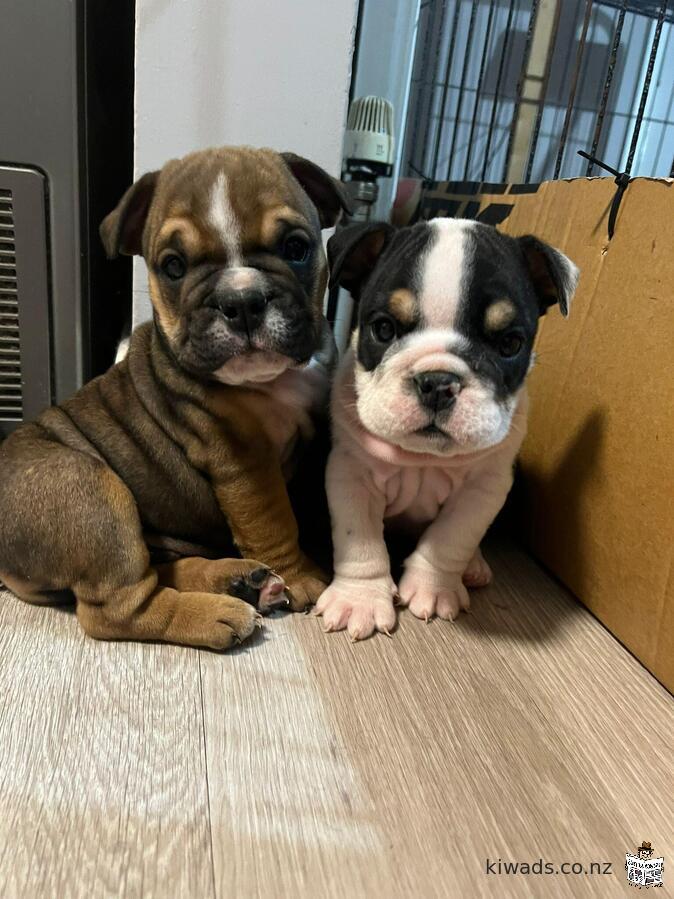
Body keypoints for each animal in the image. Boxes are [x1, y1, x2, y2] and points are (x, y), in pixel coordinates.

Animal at [316, 218, 576, 640]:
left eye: (510, 343)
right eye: (383, 329)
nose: (438, 382)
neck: (423, 459)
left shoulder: (484, 488)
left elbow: (452, 537)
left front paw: (433, 589)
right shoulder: (351, 474)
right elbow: (360, 542)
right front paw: (361, 600)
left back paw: (474, 566)